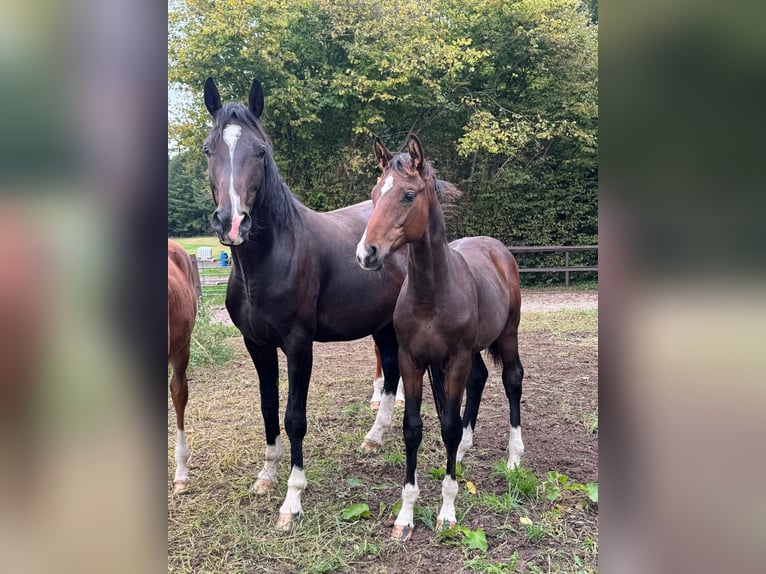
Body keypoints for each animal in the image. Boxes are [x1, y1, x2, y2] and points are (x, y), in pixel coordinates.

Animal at [201, 76, 408, 531]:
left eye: (261, 151)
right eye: (208, 149)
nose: (232, 222)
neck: (270, 259)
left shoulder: (298, 345)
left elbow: (294, 416)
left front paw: (292, 497)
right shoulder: (256, 345)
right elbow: (268, 409)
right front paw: (266, 476)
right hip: (382, 324)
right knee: (391, 370)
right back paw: (374, 437)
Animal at [356, 135, 524, 541]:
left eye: (408, 194)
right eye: (375, 193)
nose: (366, 253)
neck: (431, 295)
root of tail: (497, 248)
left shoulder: (456, 358)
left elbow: (446, 425)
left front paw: (448, 511)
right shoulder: (411, 360)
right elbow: (413, 428)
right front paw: (405, 516)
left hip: (507, 334)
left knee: (512, 380)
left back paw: (514, 456)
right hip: (475, 350)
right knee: (480, 379)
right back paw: (464, 448)